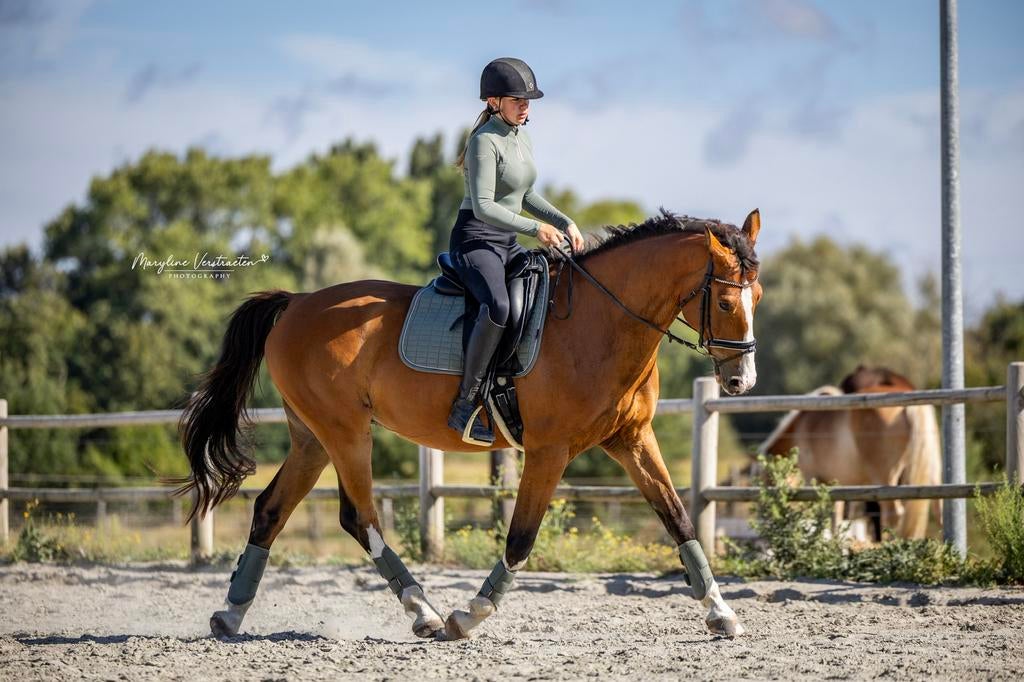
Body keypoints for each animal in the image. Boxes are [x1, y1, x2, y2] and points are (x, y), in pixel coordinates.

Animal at [175, 208, 764, 641]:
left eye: (757, 297)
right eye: (726, 300)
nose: (741, 381)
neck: (605, 323)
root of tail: (296, 302)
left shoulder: (632, 440)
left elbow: (679, 519)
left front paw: (721, 613)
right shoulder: (549, 451)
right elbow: (521, 538)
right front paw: (469, 615)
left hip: (311, 439)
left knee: (270, 510)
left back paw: (229, 615)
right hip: (345, 432)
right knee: (359, 517)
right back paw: (426, 613)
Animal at [757, 366, 941, 540]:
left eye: (767, 481)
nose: (766, 519)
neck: (800, 427)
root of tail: (907, 407)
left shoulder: (811, 479)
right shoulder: (835, 485)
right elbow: (835, 518)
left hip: (886, 479)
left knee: (892, 514)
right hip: (929, 473)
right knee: (938, 508)